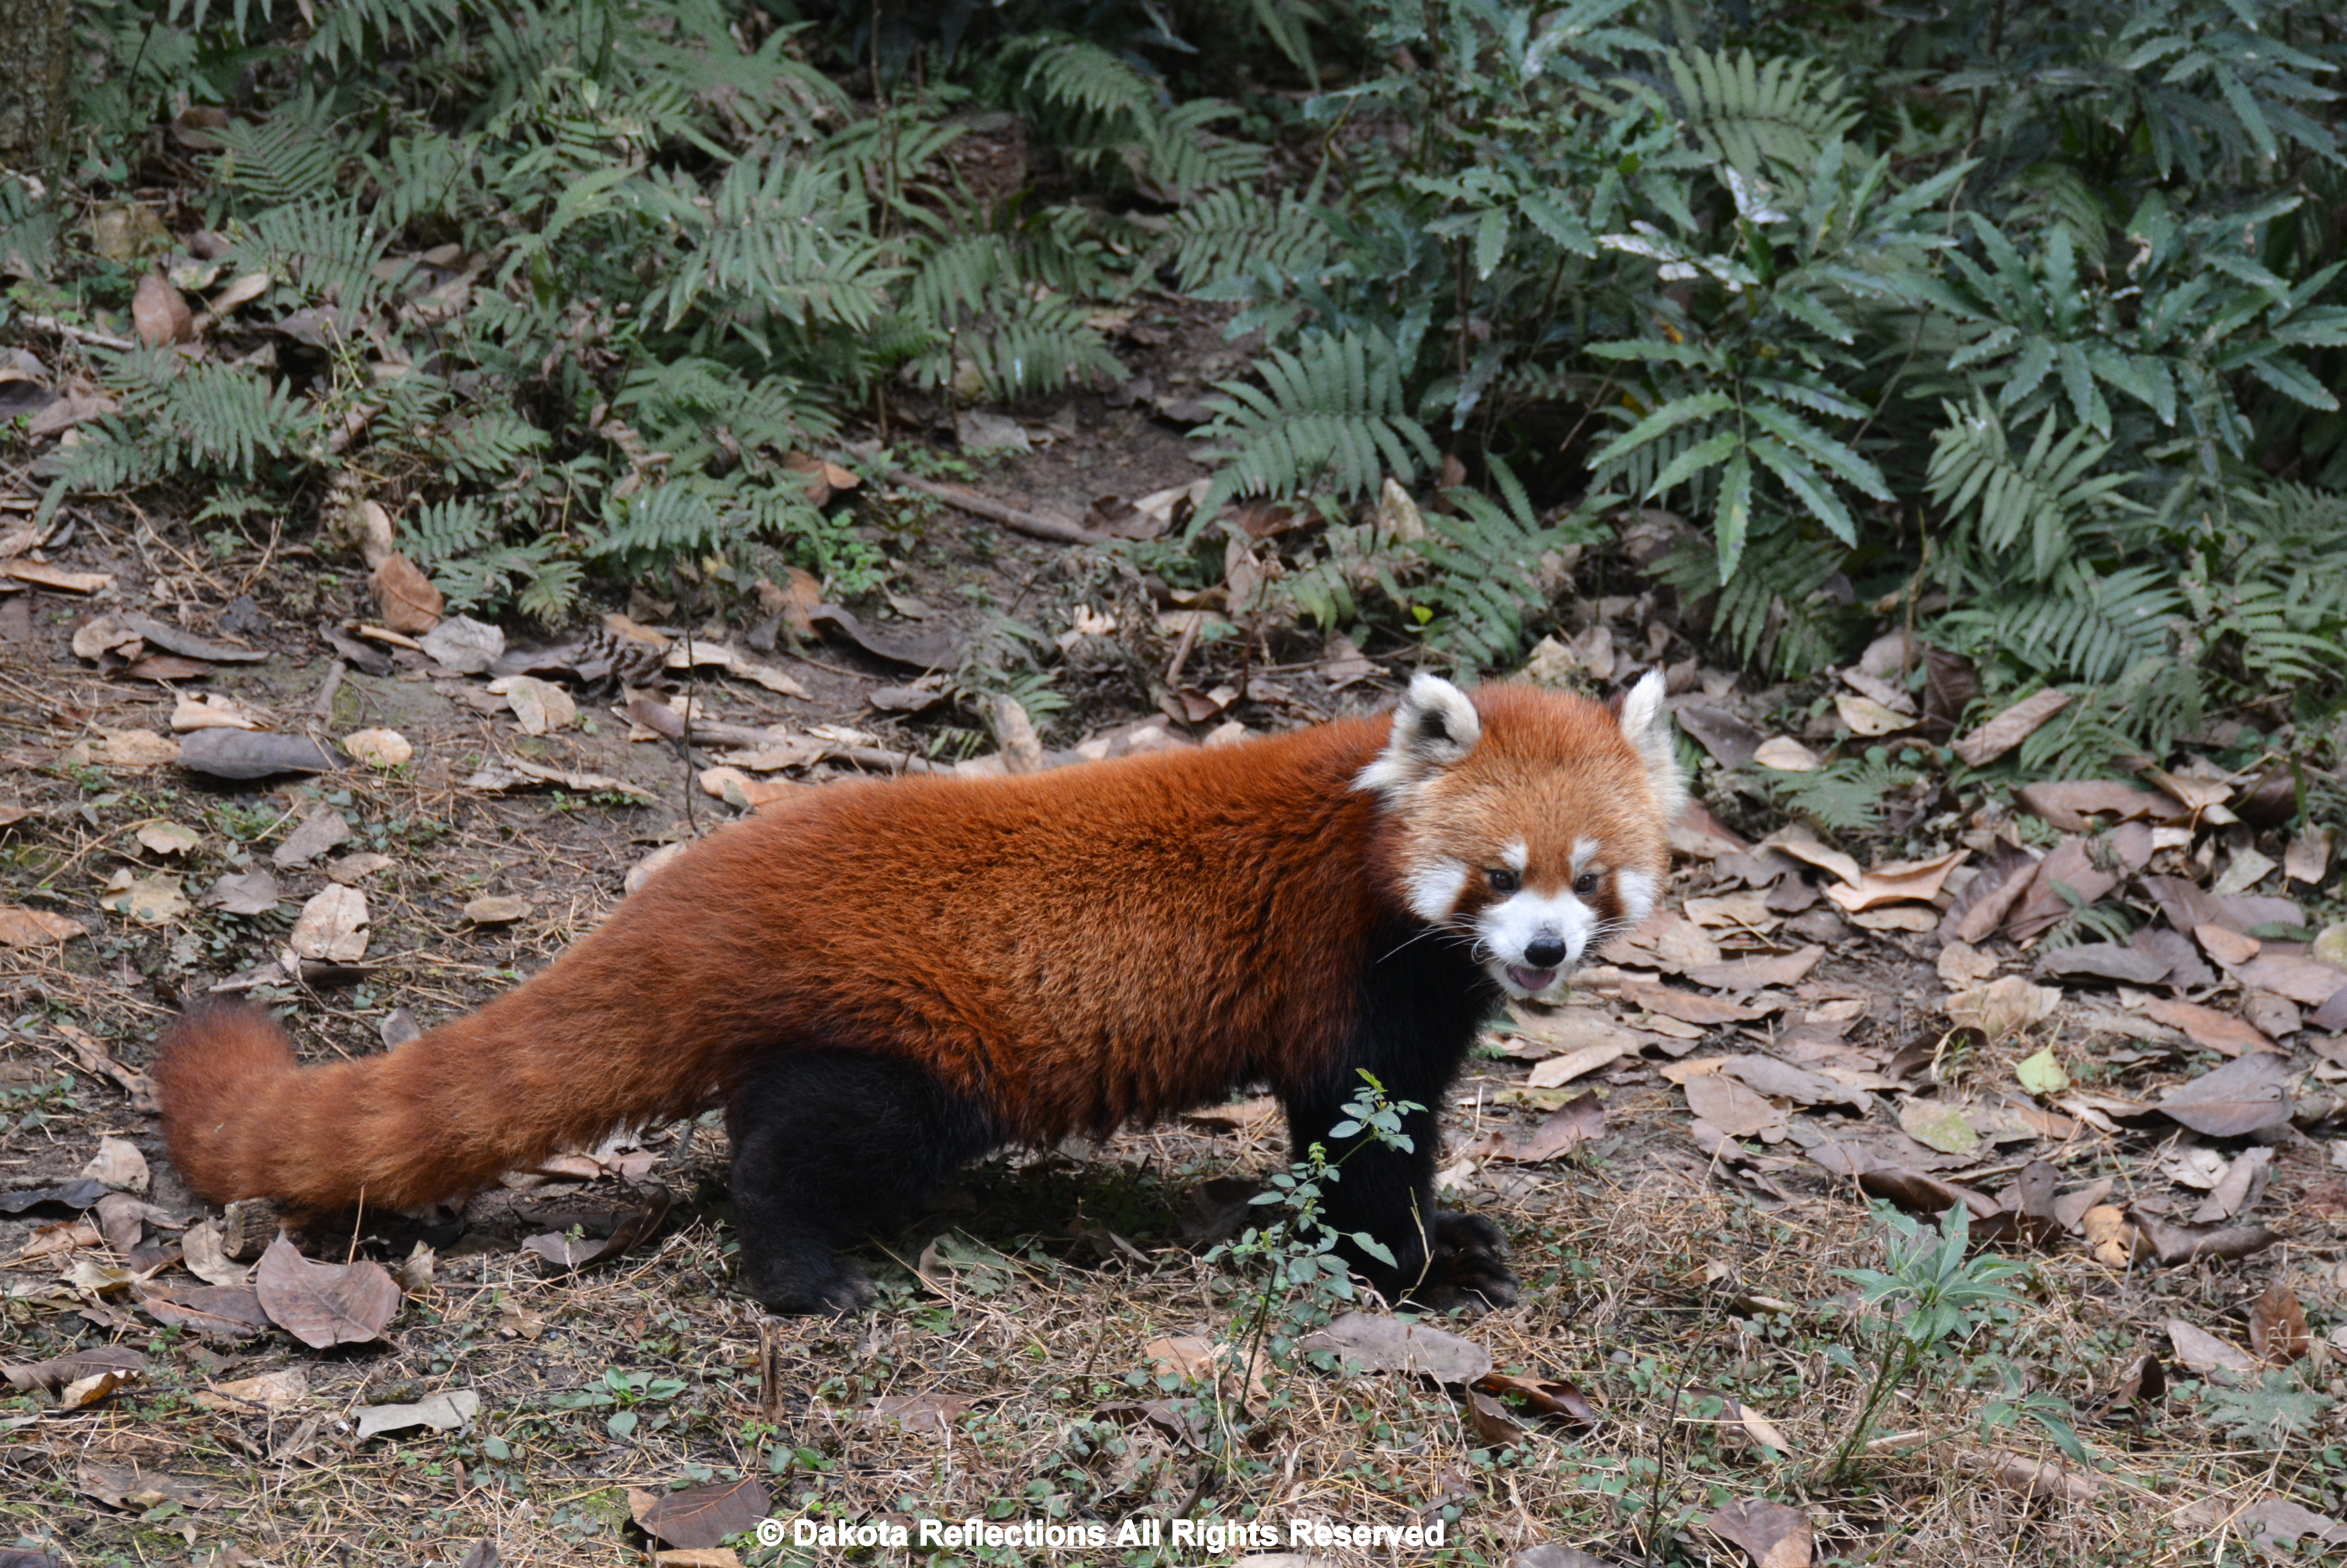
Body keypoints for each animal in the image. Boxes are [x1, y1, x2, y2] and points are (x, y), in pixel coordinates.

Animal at [151, 671, 1689, 1314]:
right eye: (1497, 875)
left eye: (1590, 878)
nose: (1542, 952)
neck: (1366, 832)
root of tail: (700, 889)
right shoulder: (1341, 974)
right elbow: (1356, 1141)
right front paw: (1418, 1267)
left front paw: (1443, 1229)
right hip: (905, 1035)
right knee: (821, 1143)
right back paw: (802, 1270)